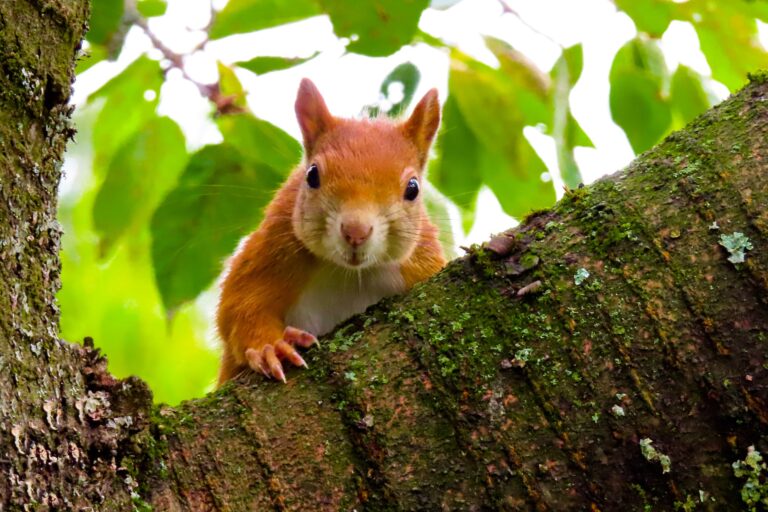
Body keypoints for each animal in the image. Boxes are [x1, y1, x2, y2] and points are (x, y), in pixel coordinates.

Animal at [214, 79, 444, 384]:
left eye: (413, 188)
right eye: (312, 175)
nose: (356, 231)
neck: (350, 274)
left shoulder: (421, 262)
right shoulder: (273, 247)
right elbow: (240, 307)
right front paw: (270, 347)